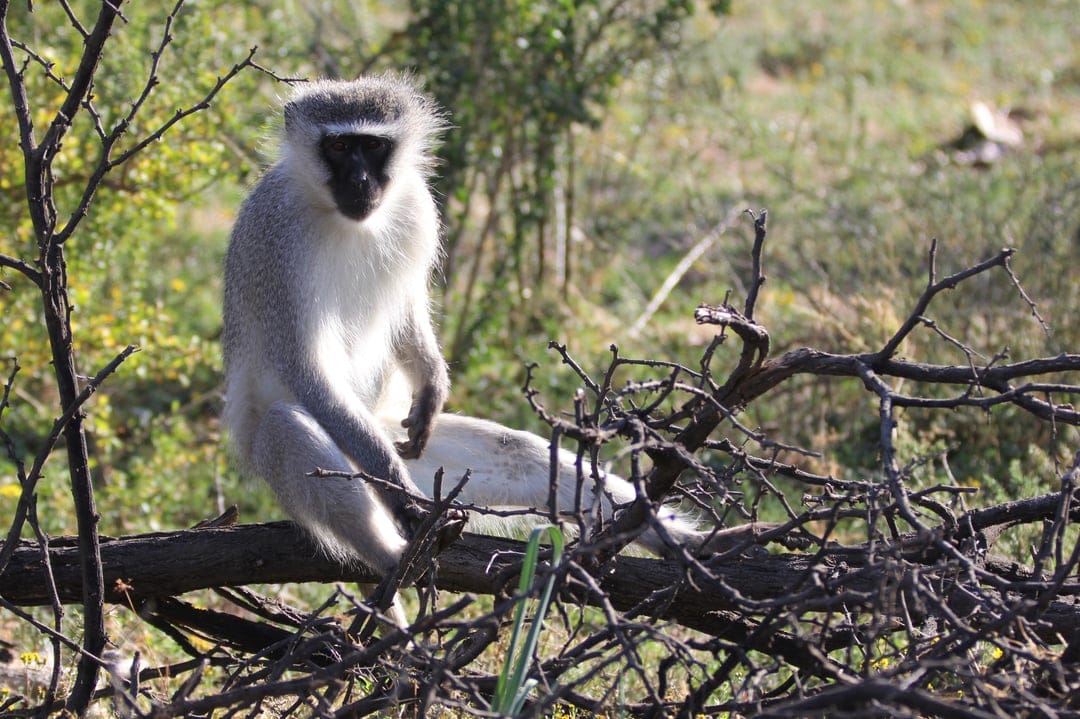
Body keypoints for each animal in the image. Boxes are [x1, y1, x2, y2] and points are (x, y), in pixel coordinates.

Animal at [222, 75, 766, 593]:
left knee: (520, 452)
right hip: (339, 444)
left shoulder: (416, 206)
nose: (359, 179)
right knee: (285, 426)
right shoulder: (277, 239)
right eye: (337, 147)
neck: (344, 217)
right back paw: (397, 556)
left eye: (373, 146)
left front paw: (432, 385)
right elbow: (306, 370)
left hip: (411, 448)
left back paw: (674, 538)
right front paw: (404, 506)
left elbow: (407, 308)